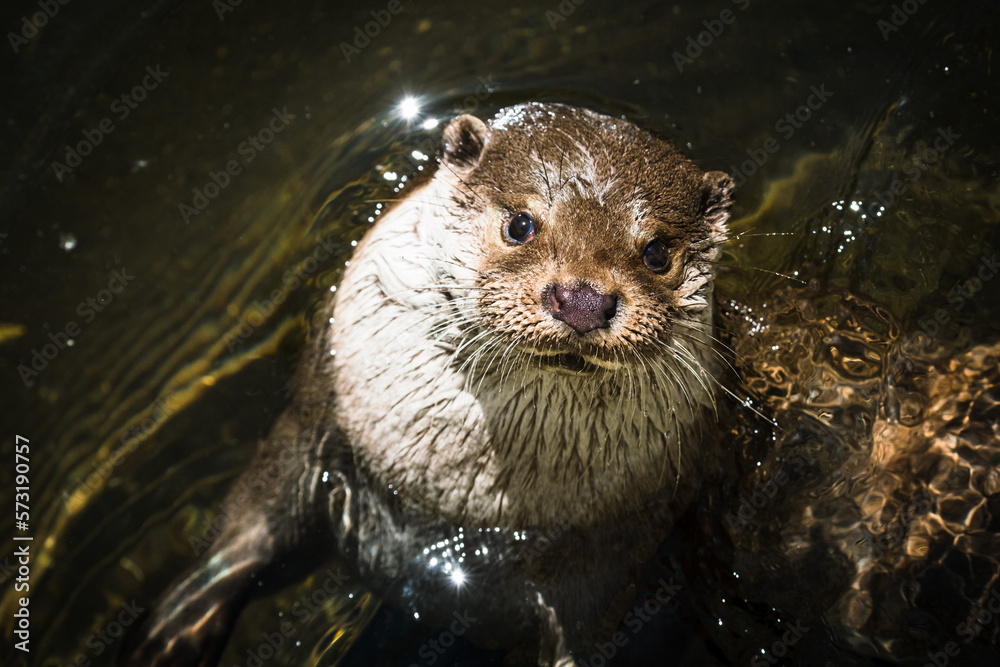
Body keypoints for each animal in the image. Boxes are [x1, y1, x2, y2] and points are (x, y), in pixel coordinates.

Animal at [120, 103, 734, 666]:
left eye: (657, 252)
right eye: (520, 224)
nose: (582, 299)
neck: (468, 498)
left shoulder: (616, 547)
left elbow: (584, 632)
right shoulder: (320, 419)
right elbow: (254, 523)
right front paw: (175, 631)